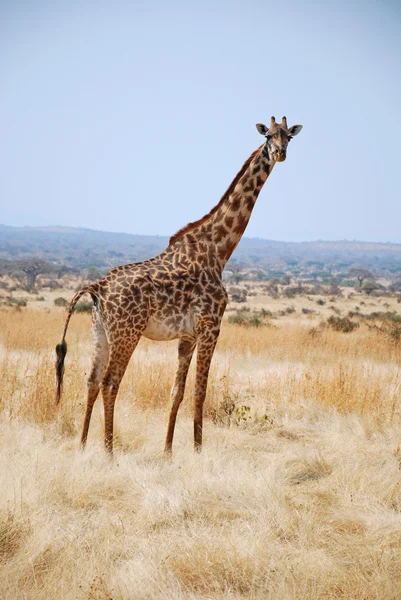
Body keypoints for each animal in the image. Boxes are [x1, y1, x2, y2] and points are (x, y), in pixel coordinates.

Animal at [54, 116, 302, 454]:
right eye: (268, 137)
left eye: (289, 136)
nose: (281, 153)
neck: (218, 249)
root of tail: (98, 287)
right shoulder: (211, 325)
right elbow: (200, 391)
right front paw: (198, 451)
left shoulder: (188, 335)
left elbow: (177, 391)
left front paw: (169, 450)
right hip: (127, 333)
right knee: (110, 382)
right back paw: (109, 451)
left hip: (100, 333)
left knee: (91, 380)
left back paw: (81, 446)